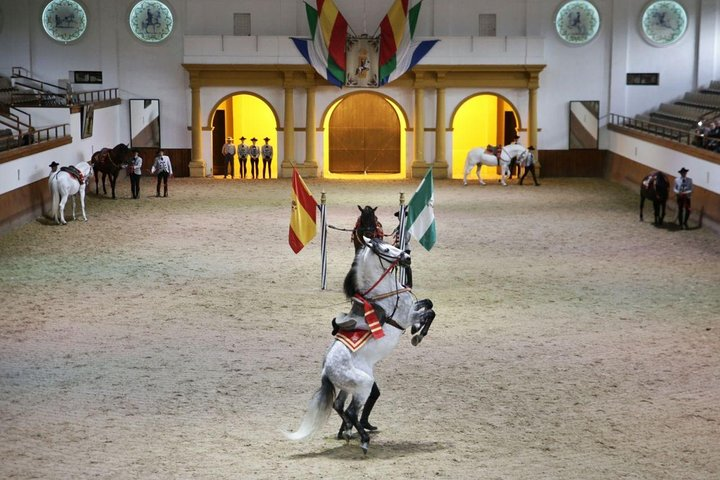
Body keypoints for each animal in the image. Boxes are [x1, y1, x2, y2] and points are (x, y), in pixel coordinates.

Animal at [286, 239, 434, 454]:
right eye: (386, 249)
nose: (407, 257)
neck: (384, 296)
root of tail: (325, 371)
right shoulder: (407, 317)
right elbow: (430, 313)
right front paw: (418, 335)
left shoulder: (413, 308)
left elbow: (428, 303)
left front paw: (417, 330)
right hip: (364, 385)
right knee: (351, 411)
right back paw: (363, 439)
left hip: (350, 387)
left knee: (339, 405)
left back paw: (348, 431)